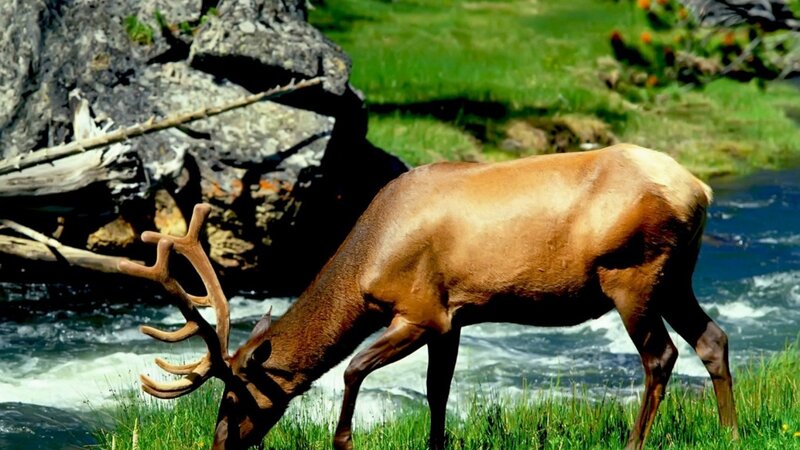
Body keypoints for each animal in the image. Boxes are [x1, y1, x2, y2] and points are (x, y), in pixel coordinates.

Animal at [119, 143, 739, 450]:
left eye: (235, 398)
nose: (218, 446)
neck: (367, 262)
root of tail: (699, 189)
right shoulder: (456, 316)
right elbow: (438, 392)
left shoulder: (421, 312)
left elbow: (353, 371)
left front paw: (343, 443)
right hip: (676, 276)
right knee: (713, 338)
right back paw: (731, 433)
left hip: (633, 273)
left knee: (661, 355)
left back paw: (635, 444)